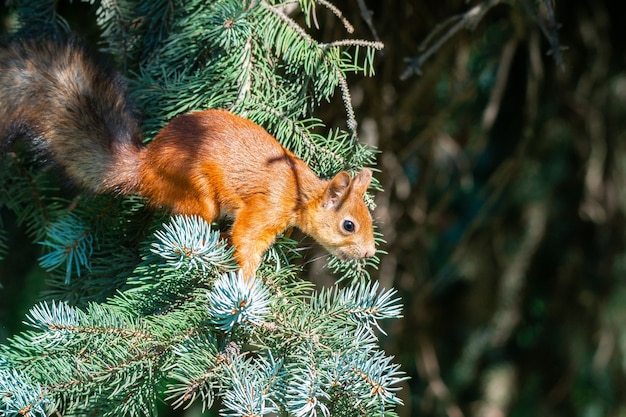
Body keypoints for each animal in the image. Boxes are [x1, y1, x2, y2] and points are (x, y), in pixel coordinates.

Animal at [0, 39, 376, 278]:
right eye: (349, 225)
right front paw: (248, 285)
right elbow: (246, 239)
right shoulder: (265, 207)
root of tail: (145, 166)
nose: (370, 253)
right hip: (192, 186)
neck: (299, 192)